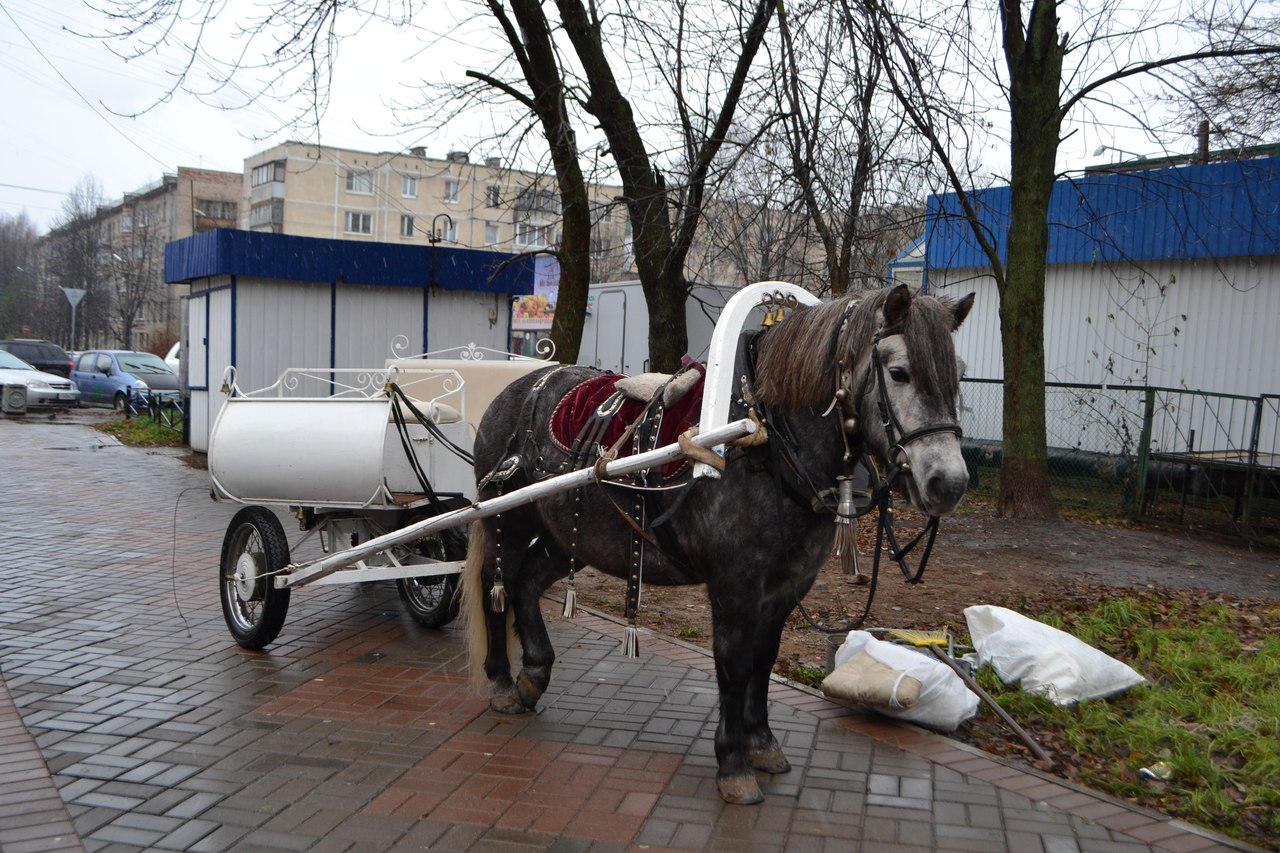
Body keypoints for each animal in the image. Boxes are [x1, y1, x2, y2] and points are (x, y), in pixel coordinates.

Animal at [460, 284, 974, 804]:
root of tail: (522, 385)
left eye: (959, 375)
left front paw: (762, 742)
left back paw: (534, 675)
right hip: (507, 519)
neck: (765, 443)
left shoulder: (786, 587)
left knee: (526, 585)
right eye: (899, 372)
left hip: (569, 537)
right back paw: (501, 681)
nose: (948, 484)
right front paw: (733, 764)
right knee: (494, 586)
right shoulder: (734, 585)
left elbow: (763, 659)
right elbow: (734, 663)